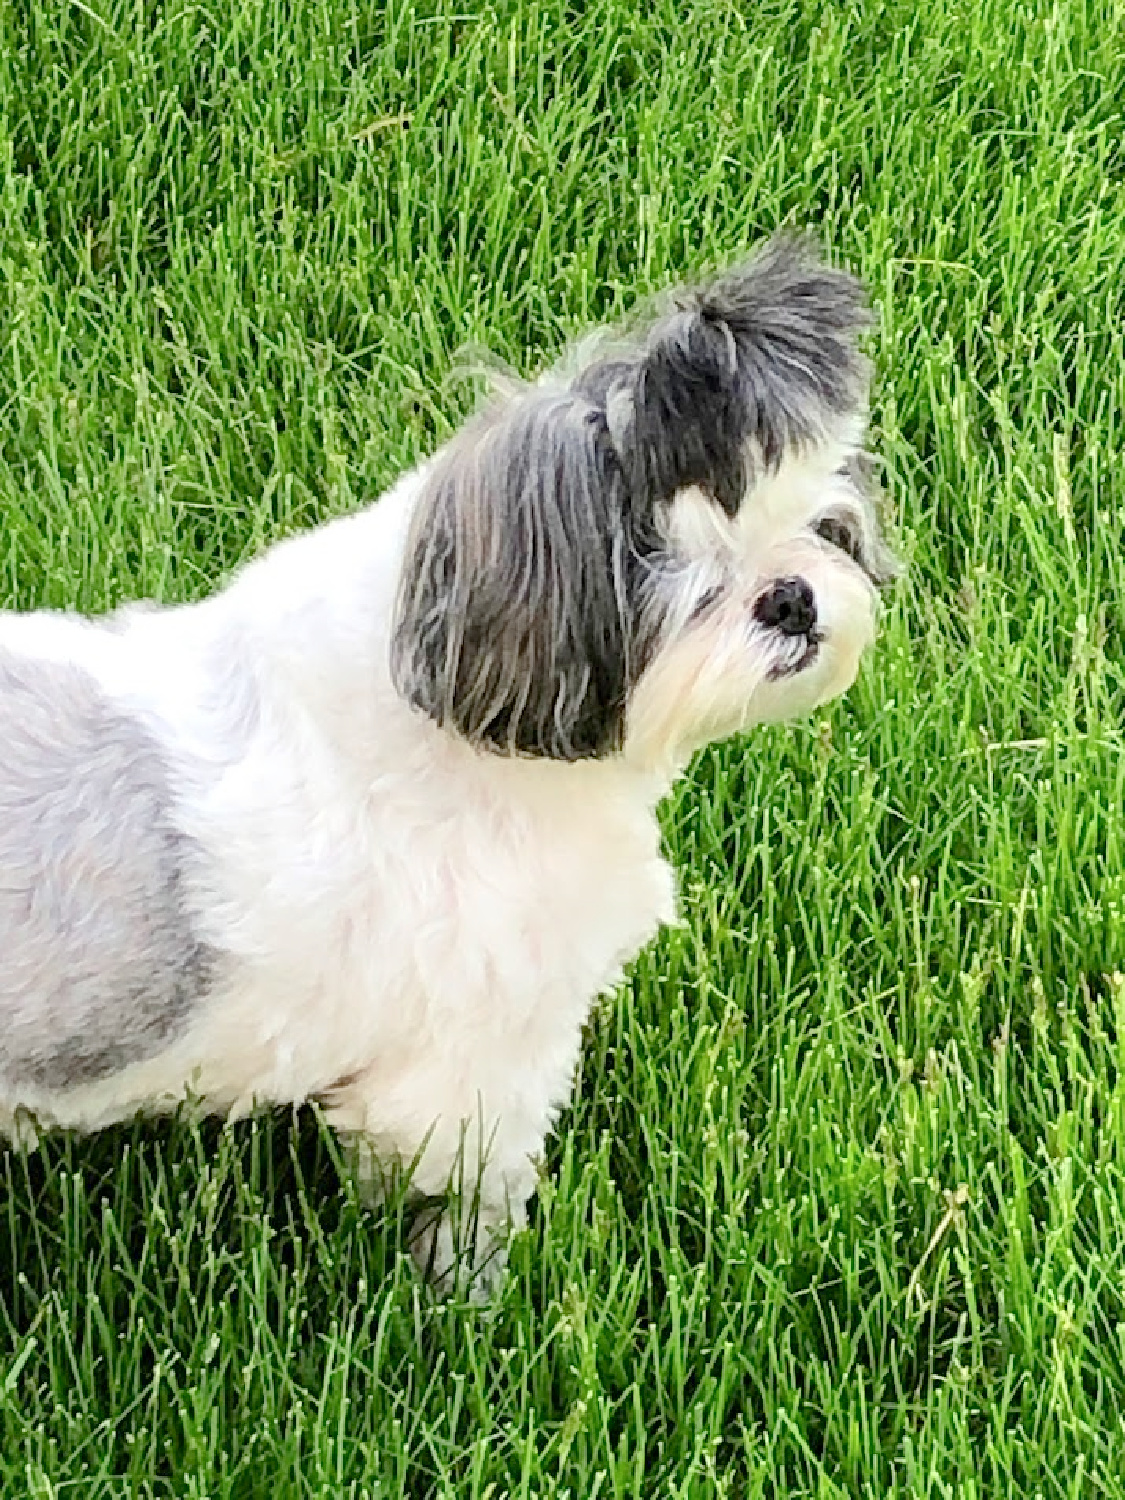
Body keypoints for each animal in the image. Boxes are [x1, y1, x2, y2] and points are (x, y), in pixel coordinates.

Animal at [0, 234, 900, 1290]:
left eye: (810, 511)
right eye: (652, 555)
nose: (791, 598)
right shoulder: (476, 1056)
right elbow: (464, 1182)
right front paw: (475, 1288)